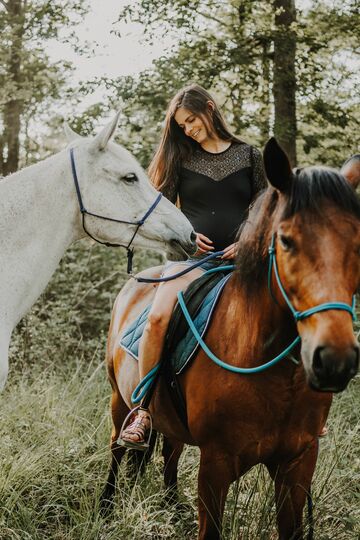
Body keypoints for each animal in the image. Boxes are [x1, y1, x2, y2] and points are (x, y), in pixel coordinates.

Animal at [100, 140, 360, 540]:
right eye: (286, 241)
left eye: (358, 242)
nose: (335, 360)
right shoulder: (216, 464)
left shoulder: (298, 464)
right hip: (118, 399)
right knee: (116, 448)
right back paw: (106, 506)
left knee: (170, 451)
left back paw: (172, 506)